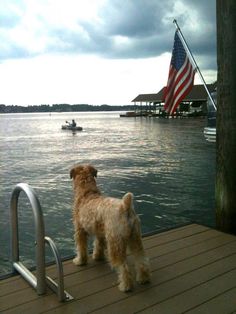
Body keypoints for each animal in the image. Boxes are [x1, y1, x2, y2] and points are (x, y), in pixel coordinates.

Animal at [70, 164, 151, 292]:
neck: (87, 193)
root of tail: (125, 206)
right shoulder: (100, 232)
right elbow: (98, 245)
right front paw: (97, 256)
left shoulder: (79, 230)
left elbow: (81, 248)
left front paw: (80, 261)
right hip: (136, 239)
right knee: (141, 259)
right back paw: (143, 278)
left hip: (115, 243)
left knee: (123, 266)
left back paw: (125, 286)